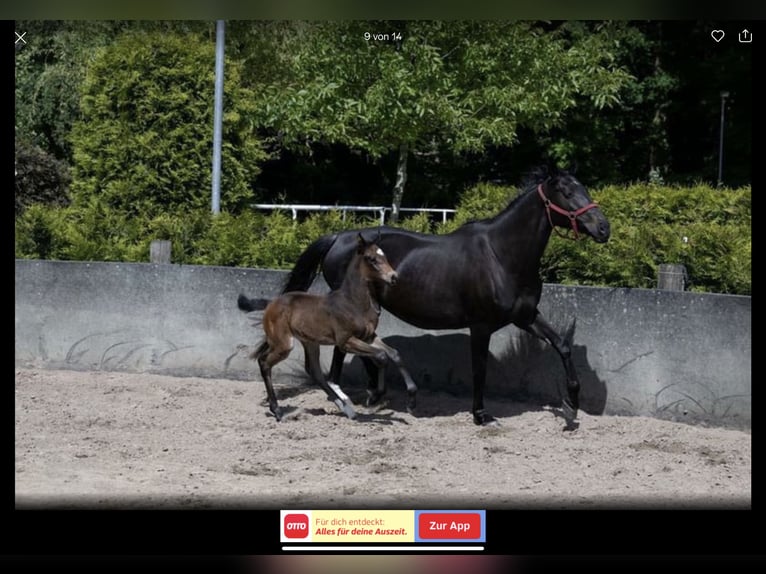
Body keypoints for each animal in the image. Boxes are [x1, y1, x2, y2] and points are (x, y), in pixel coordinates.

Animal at [238, 233, 418, 421]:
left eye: (385, 256)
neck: (352, 303)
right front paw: (377, 396)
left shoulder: (369, 336)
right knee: (264, 362)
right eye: (371, 259)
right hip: (284, 344)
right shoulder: (345, 341)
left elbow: (394, 354)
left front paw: (411, 400)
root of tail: (271, 303)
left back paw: (347, 409)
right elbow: (381, 356)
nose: (394, 277)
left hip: (310, 342)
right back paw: (278, 411)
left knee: (314, 371)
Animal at [279, 166, 610, 426]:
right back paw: (349, 397)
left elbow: (562, 346)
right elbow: (480, 369)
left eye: (584, 188)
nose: (603, 228)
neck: (502, 255)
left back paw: (372, 395)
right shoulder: (481, 326)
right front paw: (480, 415)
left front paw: (572, 405)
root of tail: (338, 238)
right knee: (342, 349)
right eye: (566, 192)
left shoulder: (525, 316)